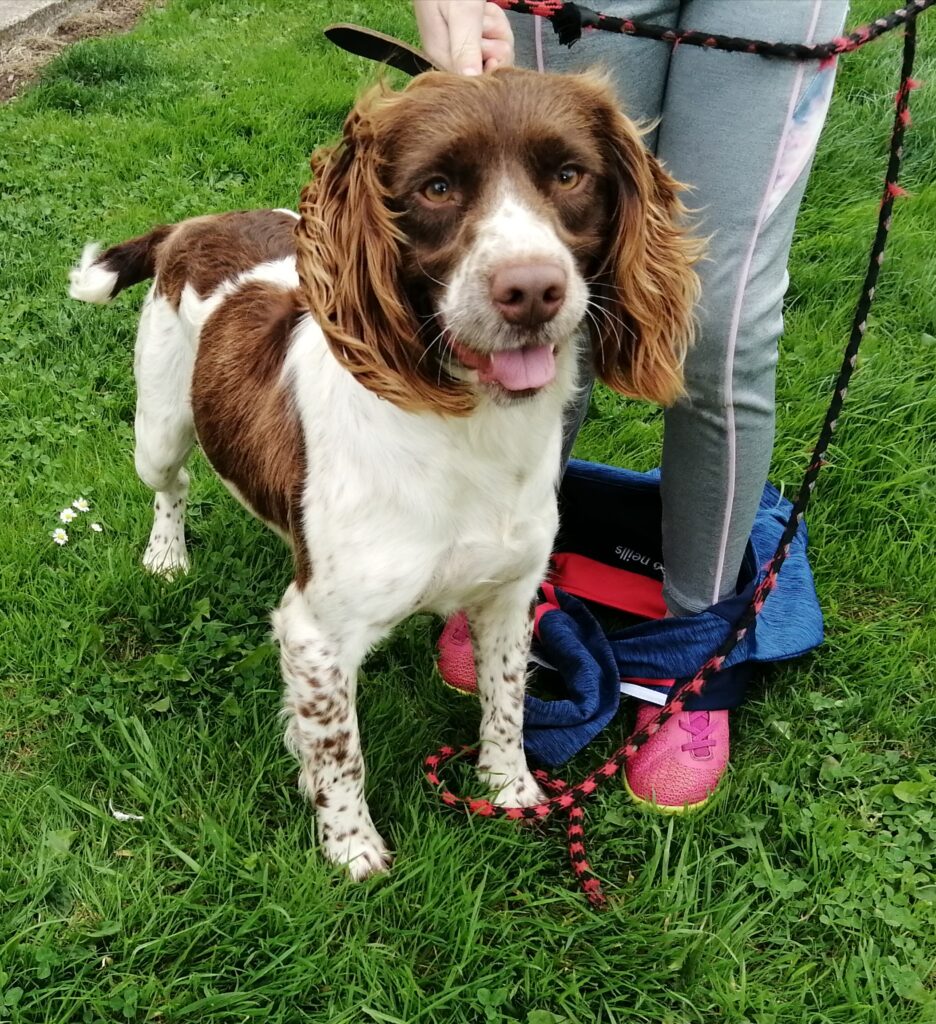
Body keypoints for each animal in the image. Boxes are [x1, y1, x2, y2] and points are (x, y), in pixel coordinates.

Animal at [69, 68, 696, 876]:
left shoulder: (510, 595)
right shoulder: (314, 633)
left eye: (568, 175)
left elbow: (506, 698)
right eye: (436, 187)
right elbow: (342, 750)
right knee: (170, 487)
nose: (531, 289)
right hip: (160, 426)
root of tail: (192, 224)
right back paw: (167, 555)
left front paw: (510, 788)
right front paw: (351, 847)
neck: (470, 430)